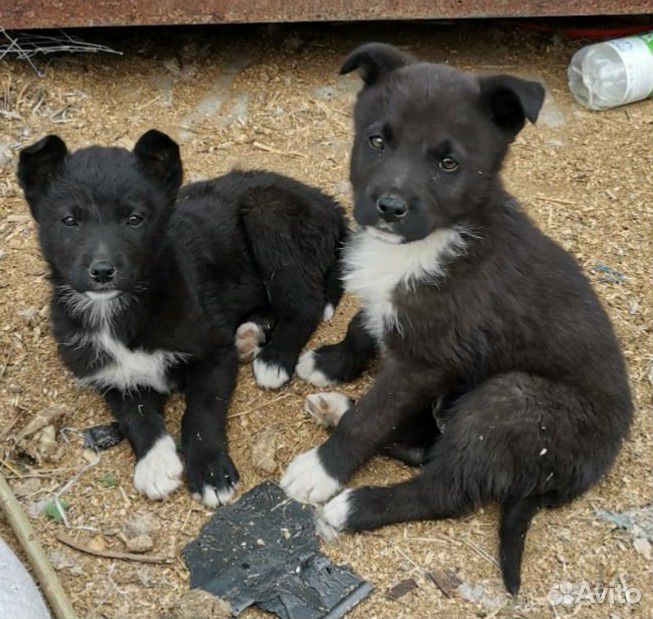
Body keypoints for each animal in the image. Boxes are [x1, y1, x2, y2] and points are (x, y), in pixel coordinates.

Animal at [19, 128, 346, 506]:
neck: (118, 312)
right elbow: (135, 416)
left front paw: (211, 472)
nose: (102, 271)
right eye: (70, 220)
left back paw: (274, 358)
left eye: (135, 219)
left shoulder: (214, 352)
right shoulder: (110, 375)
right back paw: (250, 334)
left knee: (304, 306)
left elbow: (201, 414)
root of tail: (328, 202)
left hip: (268, 214)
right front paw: (155, 463)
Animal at [282, 43, 632, 596]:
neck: (433, 241)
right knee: (428, 448)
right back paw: (334, 405)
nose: (389, 207)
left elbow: (372, 416)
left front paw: (321, 470)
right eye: (377, 141)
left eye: (448, 163)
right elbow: (364, 324)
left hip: (509, 401)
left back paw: (355, 504)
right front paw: (333, 363)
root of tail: (588, 470)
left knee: (448, 489)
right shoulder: (399, 316)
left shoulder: (426, 358)